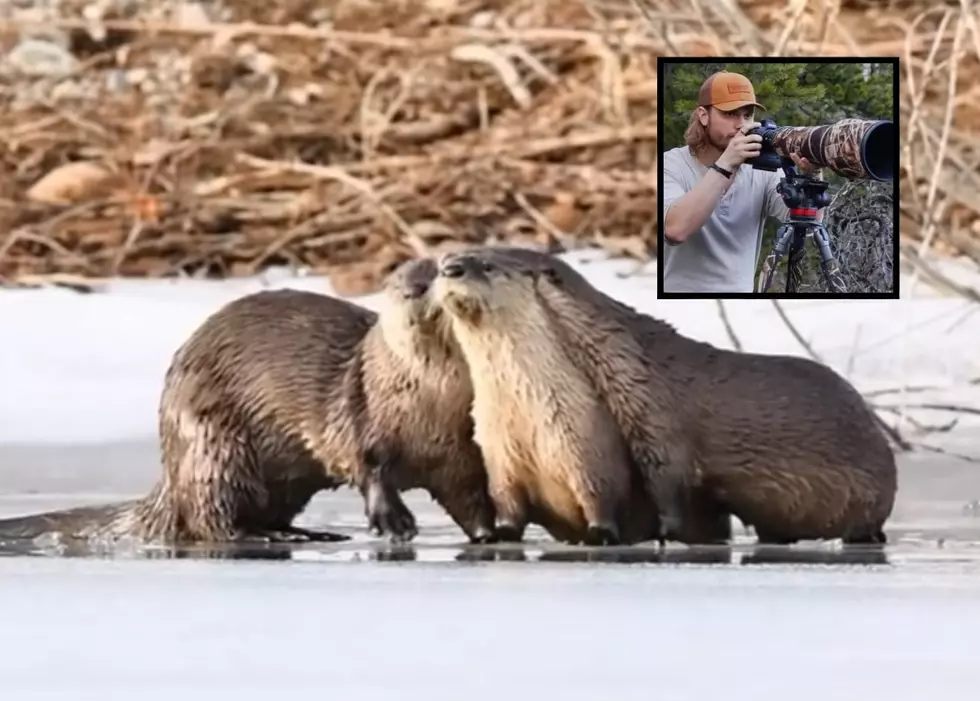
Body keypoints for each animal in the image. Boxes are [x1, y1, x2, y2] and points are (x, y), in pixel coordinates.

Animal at [0, 258, 498, 548]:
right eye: (396, 281)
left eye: (439, 272)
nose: (414, 288)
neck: (425, 407)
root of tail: (169, 475)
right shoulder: (356, 414)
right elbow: (366, 465)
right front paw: (392, 520)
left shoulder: (459, 452)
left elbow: (469, 496)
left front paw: (489, 535)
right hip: (214, 444)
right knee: (213, 519)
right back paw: (274, 535)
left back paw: (307, 531)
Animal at [428, 249, 660, 544]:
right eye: (442, 265)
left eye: (488, 266)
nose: (451, 269)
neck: (527, 415)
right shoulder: (499, 455)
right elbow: (506, 501)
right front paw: (501, 533)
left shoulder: (590, 447)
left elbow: (601, 496)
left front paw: (600, 533)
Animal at [464, 246, 900, 548]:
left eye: (493, 263)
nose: (456, 262)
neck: (634, 365)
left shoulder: (661, 428)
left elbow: (671, 490)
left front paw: (662, 533)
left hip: (866, 495)